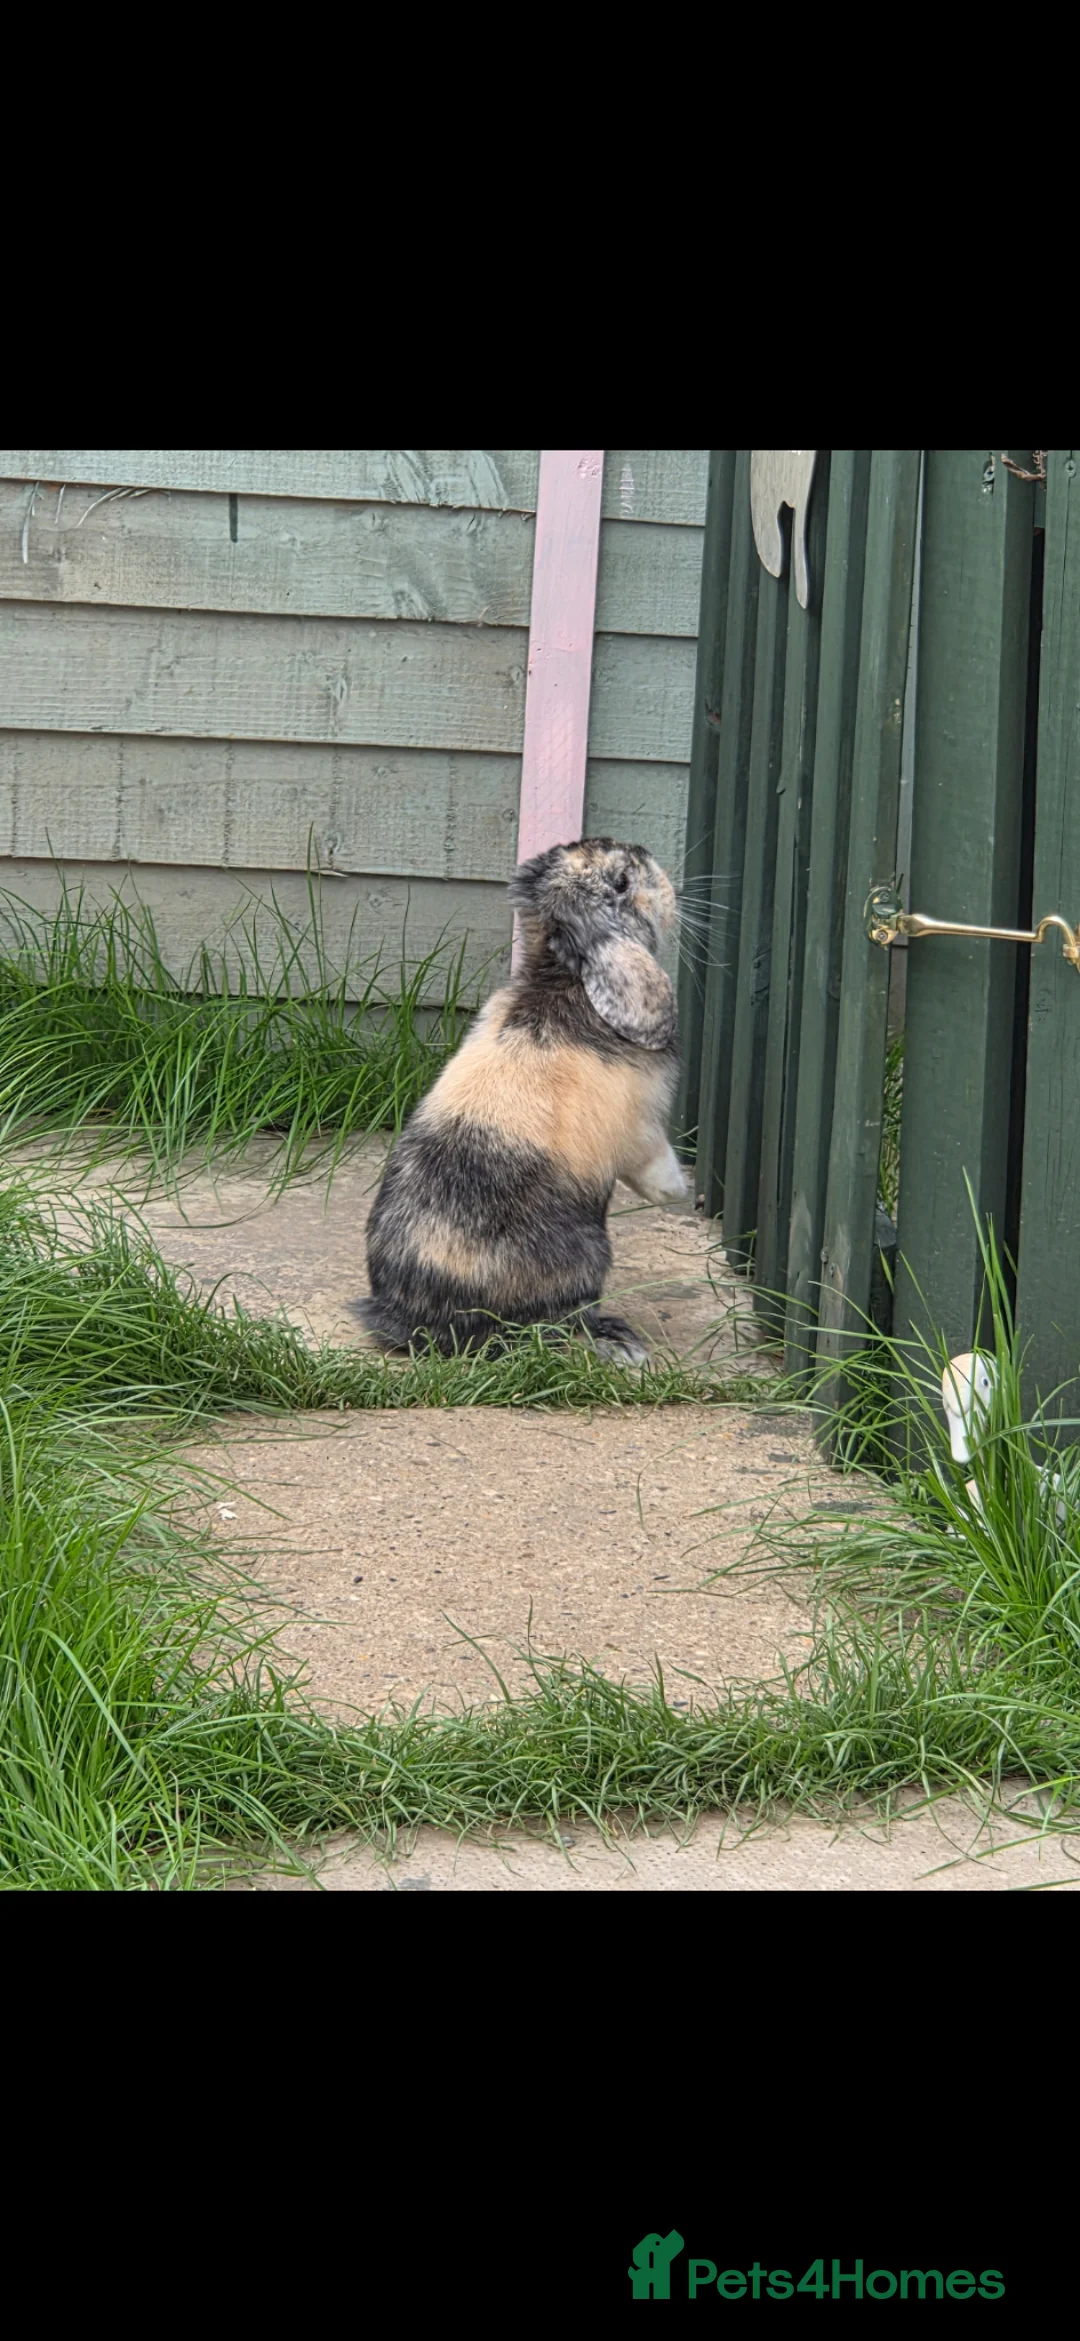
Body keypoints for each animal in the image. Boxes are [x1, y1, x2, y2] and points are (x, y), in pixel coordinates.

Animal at [356, 837, 691, 1364]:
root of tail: (417, 1322)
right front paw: (679, 1192)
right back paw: (619, 1342)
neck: (564, 980)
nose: (663, 878)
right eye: (621, 882)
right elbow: (655, 1164)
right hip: (588, 1253)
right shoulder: (641, 1128)